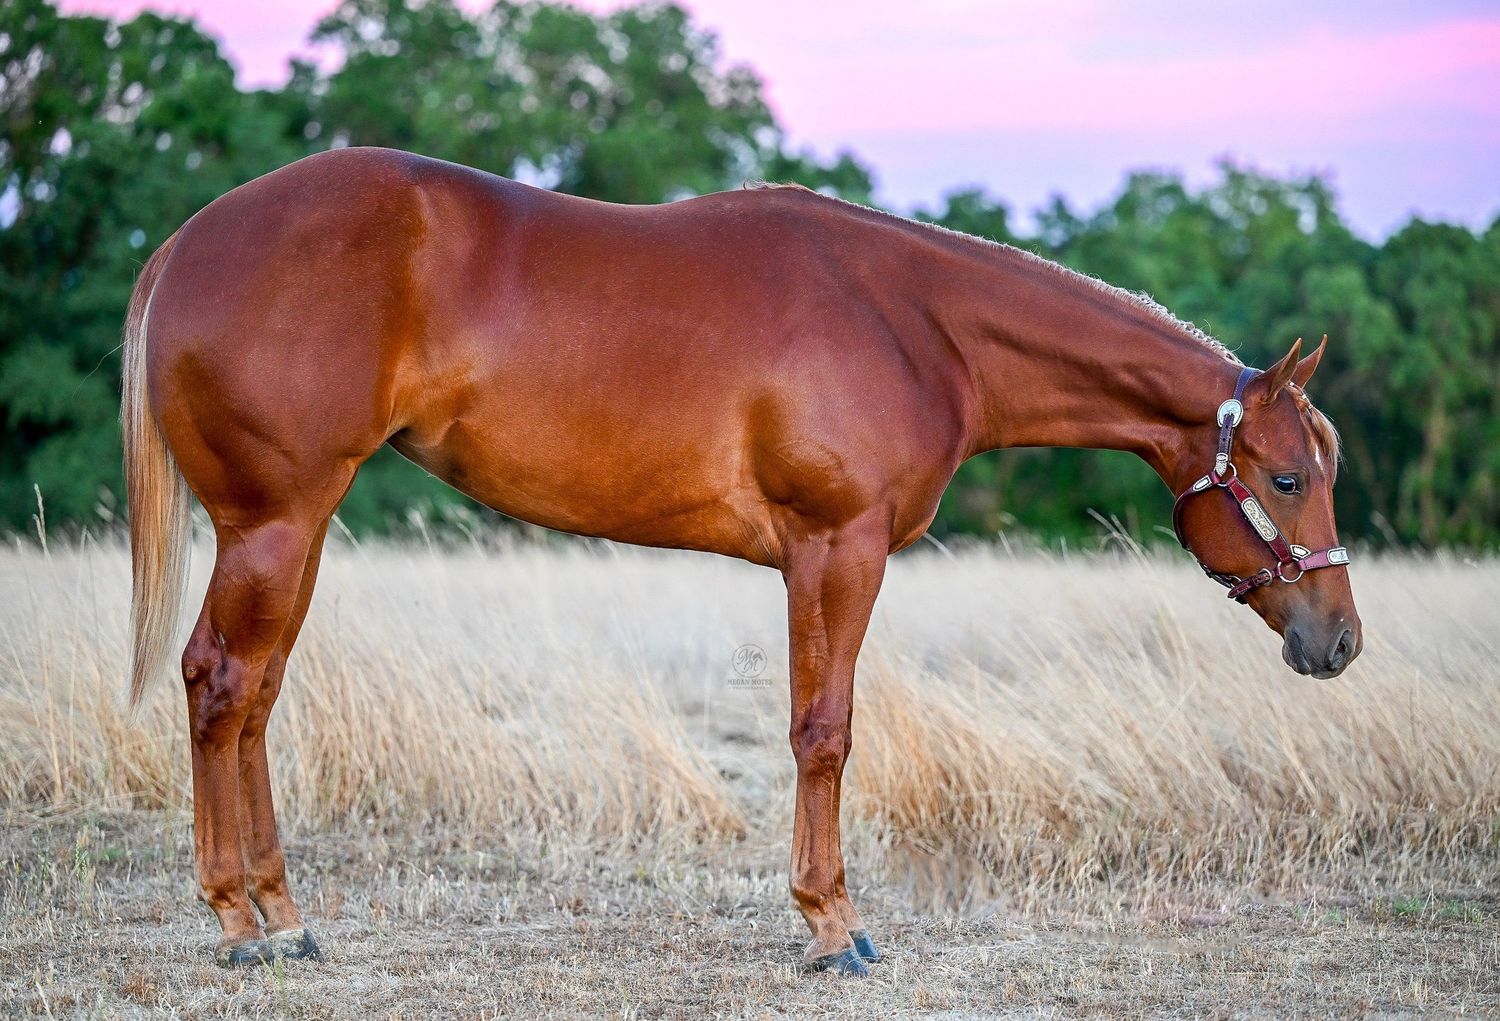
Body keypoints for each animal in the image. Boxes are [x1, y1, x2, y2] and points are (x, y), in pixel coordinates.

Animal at [121, 147, 1361, 975]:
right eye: (1286, 479)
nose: (1339, 639)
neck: (919, 322)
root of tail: (188, 241)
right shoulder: (835, 551)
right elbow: (824, 732)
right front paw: (832, 929)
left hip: (292, 531)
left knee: (253, 696)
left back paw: (282, 915)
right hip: (277, 522)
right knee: (221, 684)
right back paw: (240, 923)